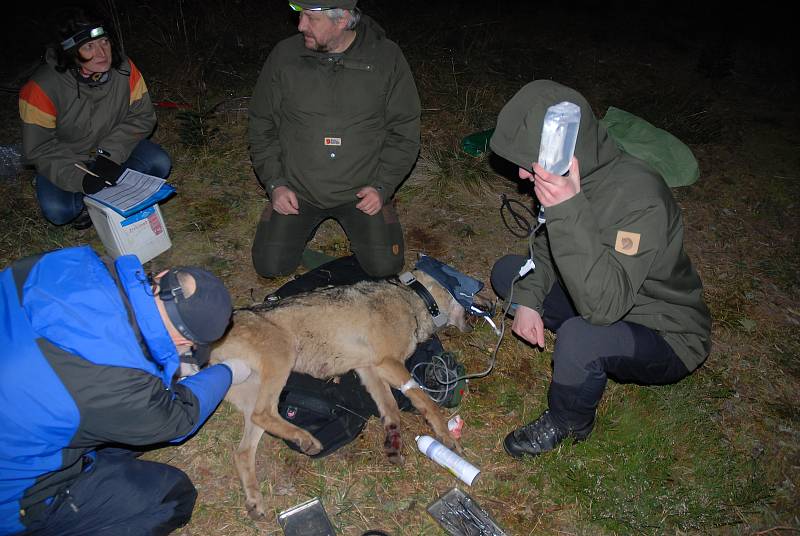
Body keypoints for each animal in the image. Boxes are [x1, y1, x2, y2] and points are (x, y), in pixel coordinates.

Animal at [209, 268, 490, 520]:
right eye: (474, 290)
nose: (492, 303)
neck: (414, 299)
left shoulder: (368, 369)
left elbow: (390, 409)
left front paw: (393, 442)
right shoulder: (387, 363)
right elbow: (425, 401)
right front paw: (446, 436)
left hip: (256, 394)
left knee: (242, 451)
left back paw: (255, 501)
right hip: (283, 359)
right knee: (263, 414)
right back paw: (306, 440)